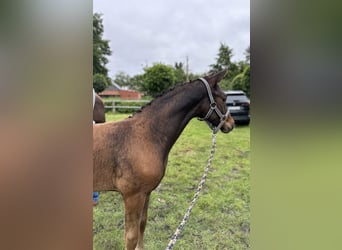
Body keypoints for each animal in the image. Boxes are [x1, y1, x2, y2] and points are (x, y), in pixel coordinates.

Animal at [92, 69, 234, 249]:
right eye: (224, 98)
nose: (231, 123)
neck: (146, 135)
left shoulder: (146, 193)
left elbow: (142, 224)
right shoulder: (132, 196)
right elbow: (131, 237)